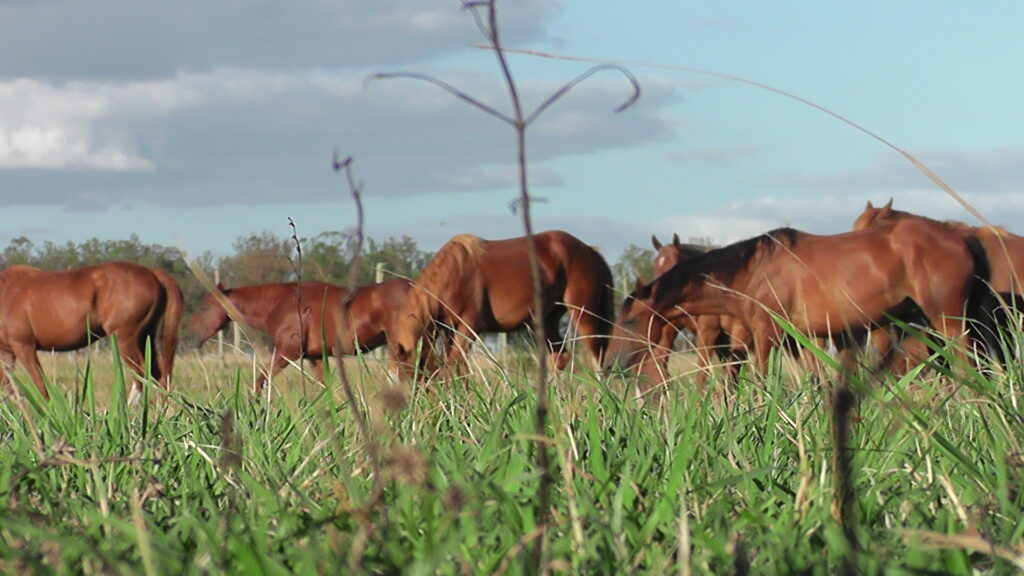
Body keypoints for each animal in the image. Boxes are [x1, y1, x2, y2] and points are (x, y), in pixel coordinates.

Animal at [0, 261, 183, 401]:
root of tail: (153, 273)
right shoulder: (6, 353)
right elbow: (8, 389)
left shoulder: (24, 347)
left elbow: (41, 387)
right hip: (145, 337)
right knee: (158, 374)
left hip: (125, 338)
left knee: (141, 374)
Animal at [190, 278, 410, 387]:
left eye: (204, 308)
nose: (193, 336)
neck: (281, 303)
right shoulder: (316, 358)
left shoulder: (287, 352)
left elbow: (260, 383)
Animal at [388, 230, 615, 379]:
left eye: (401, 377)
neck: (452, 273)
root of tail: (590, 252)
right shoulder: (449, 330)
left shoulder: (468, 328)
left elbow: (455, 365)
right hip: (547, 320)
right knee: (560, 357)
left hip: (584, 314)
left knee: (599, 359)